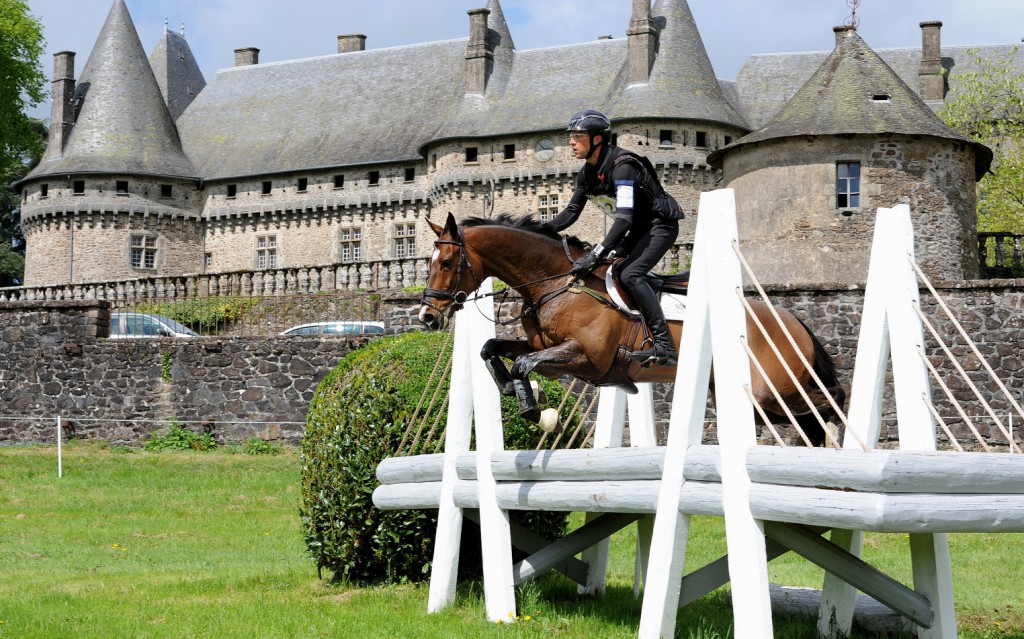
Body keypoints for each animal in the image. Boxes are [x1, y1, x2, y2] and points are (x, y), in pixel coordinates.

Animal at [417, 211, 847, 446]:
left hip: (769, 391)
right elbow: (492, 348)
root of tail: (793, 319)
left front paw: (535, 410)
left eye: (447, 262)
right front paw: (516, 392)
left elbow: (524, 365)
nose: (427, 317)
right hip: (753, 399)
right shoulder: (547, 352)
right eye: (429, 262)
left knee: (830, 400)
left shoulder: (586, 358)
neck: (555, 282)